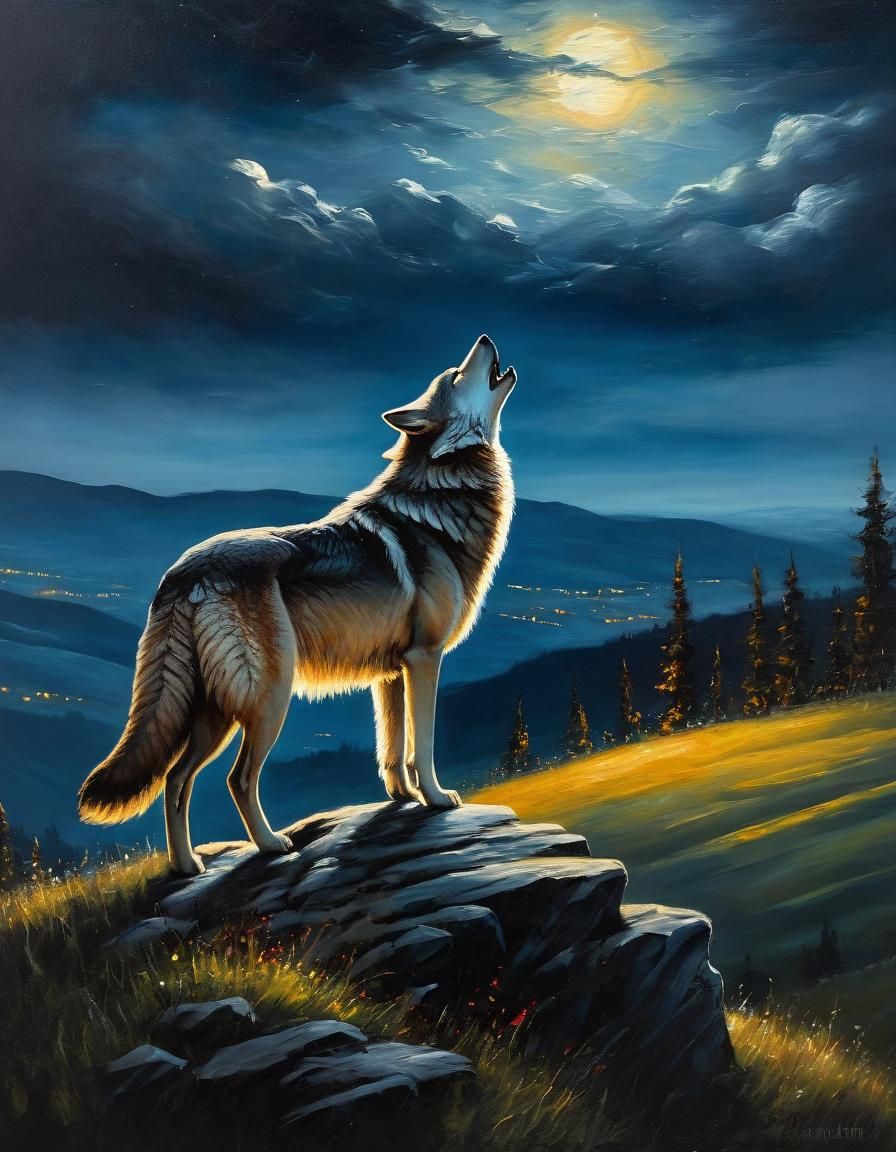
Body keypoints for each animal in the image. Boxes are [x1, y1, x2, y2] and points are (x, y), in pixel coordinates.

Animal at [78, 335, 517, 874]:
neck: (442, 489)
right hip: (268, 700)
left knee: (175, 781)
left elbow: (392, 749)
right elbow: (424, 745)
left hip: (214, 711)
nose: (485, 339)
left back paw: (188, 866)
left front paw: (403, 798)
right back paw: (271, 845)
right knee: (237, 779)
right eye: (456, 374)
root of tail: (182, 573)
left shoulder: (391, 673)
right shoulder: (424, 660)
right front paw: (435, 799)